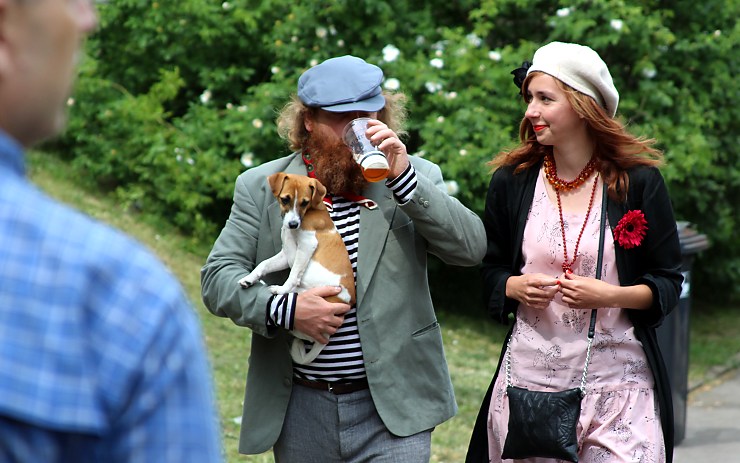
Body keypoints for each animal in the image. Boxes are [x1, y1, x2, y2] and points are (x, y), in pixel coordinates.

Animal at [236, 172, 354, 364]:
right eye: (285, 199)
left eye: (304, 202)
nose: (292, 224)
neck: (311, 211)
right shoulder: (285, 255)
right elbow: (265, 264)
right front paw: (250, 278)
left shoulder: (306, 244)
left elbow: (293, 274)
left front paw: (282, 289)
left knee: (303, 333)